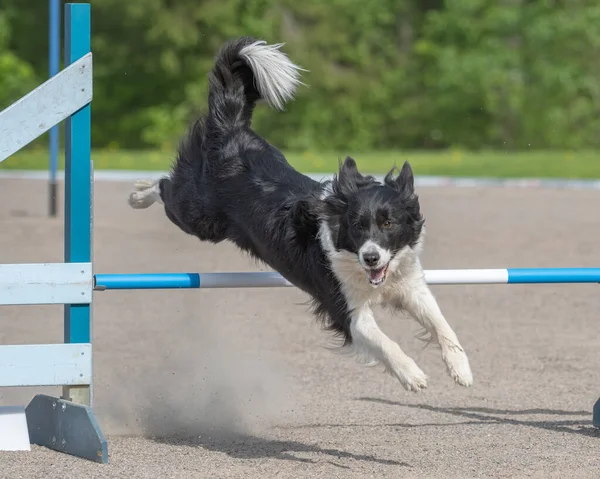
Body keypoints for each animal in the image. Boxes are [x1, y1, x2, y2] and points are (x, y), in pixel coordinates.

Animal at [130, 36, 474, 390]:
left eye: (388, 223)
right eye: (357, 226)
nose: (371, 258)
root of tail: (231, 130)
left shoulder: (410, 286)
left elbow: (442, 323)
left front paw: (461, 368)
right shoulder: (344, 306)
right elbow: (384, 341)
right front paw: (412, 374)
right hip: (200, 218)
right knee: (166, 187)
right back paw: (138, 194)